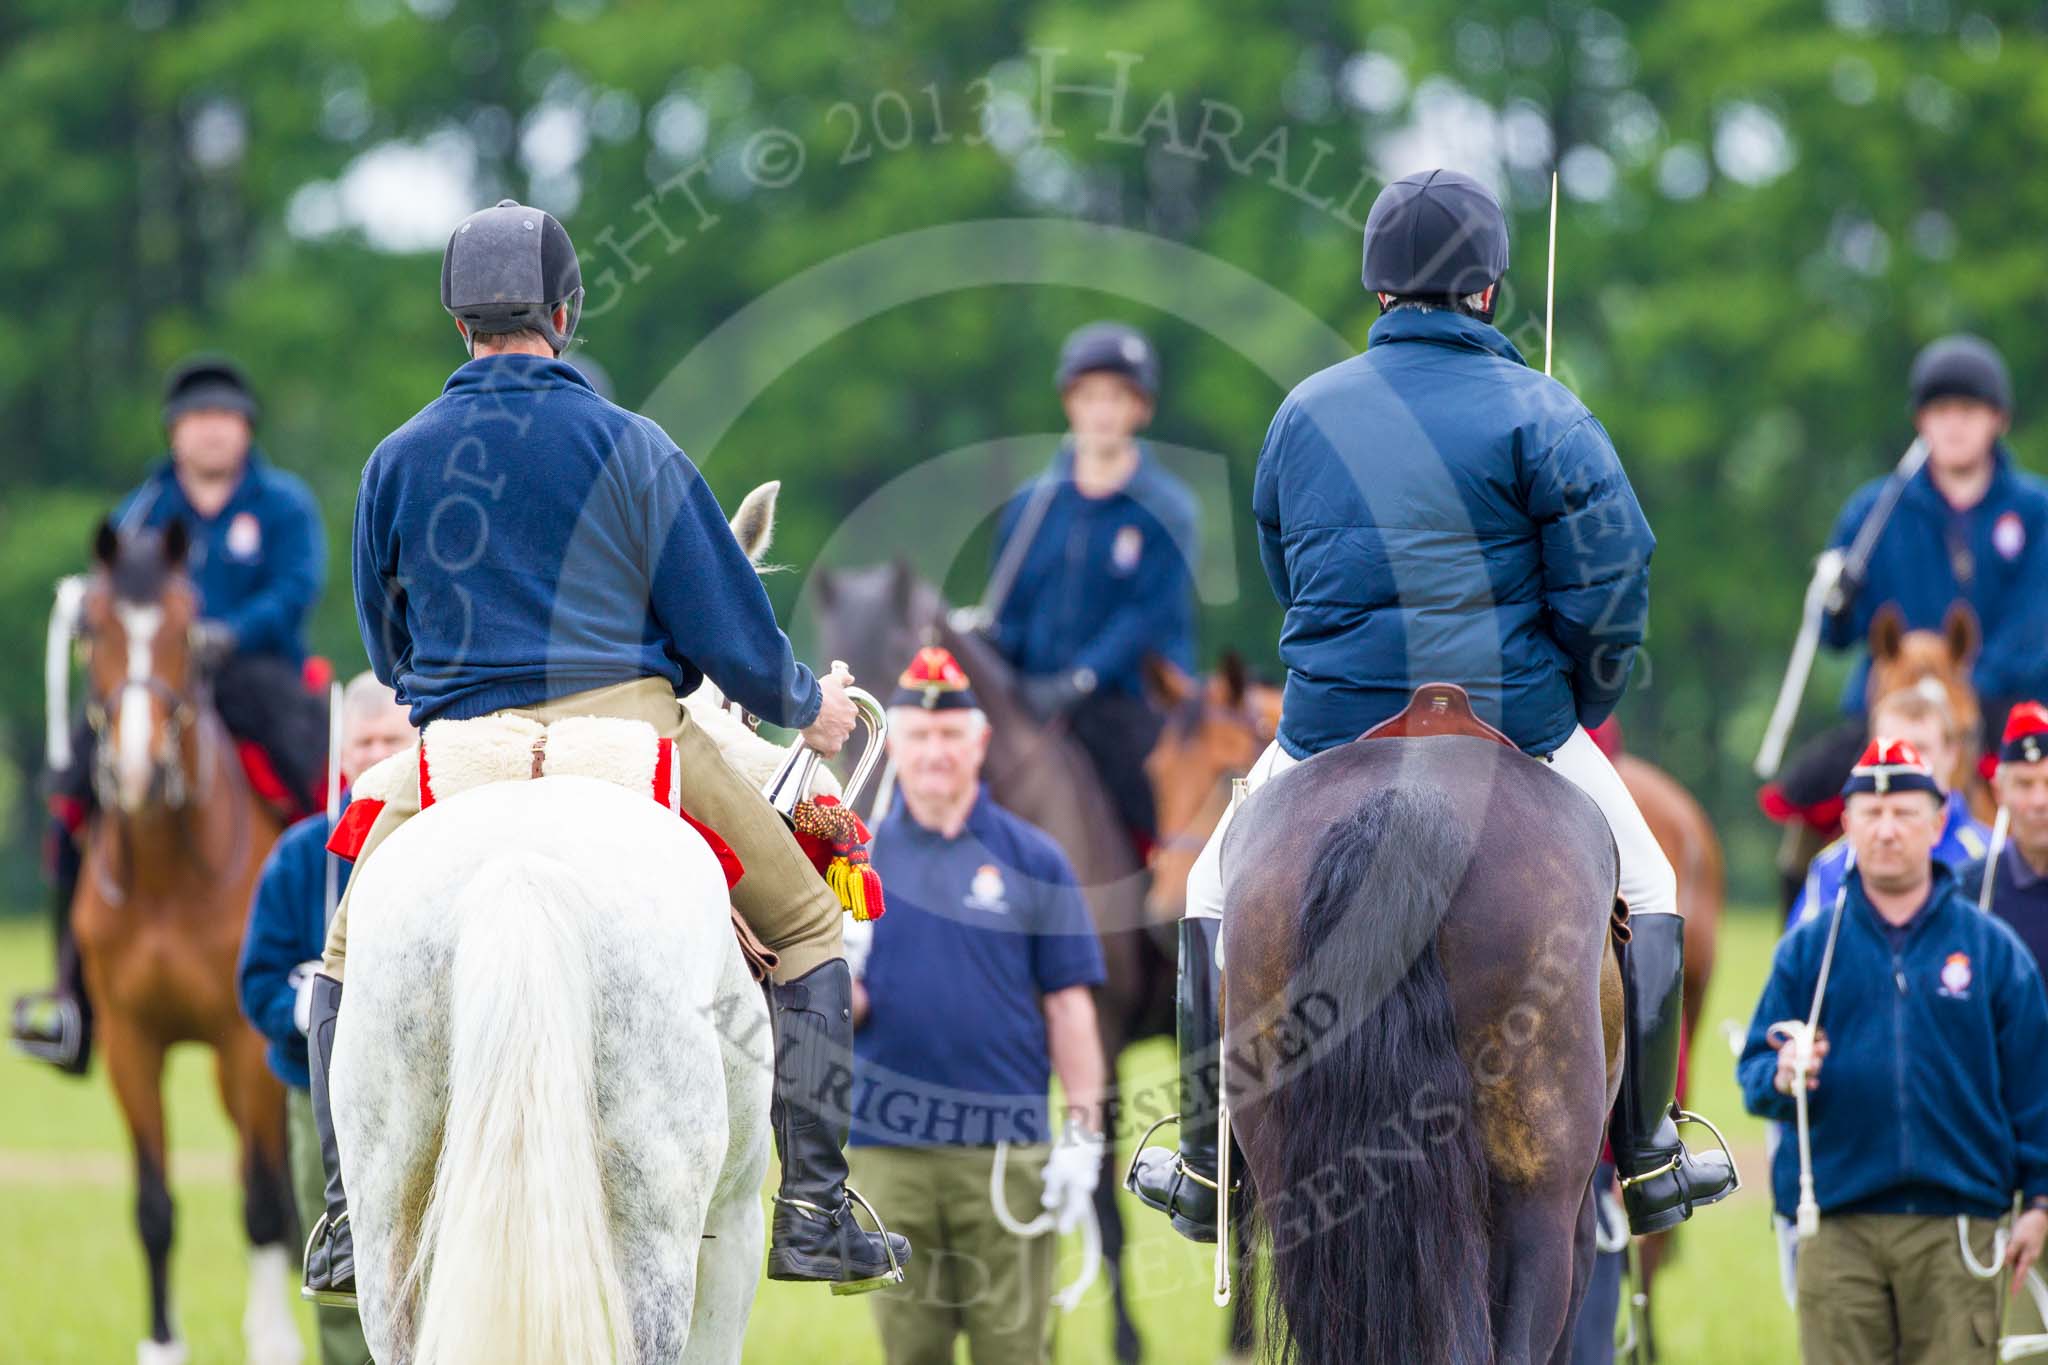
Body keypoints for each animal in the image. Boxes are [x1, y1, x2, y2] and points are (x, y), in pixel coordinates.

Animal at [69, 517, 299, 1358]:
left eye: (185, 633)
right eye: (93, 630)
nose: (137, 770)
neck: (170, 878)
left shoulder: (246, 1042)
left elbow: (260, 1201)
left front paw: (275, 1342)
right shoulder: (129, 1044)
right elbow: (153, 1206)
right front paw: (162, 1343)